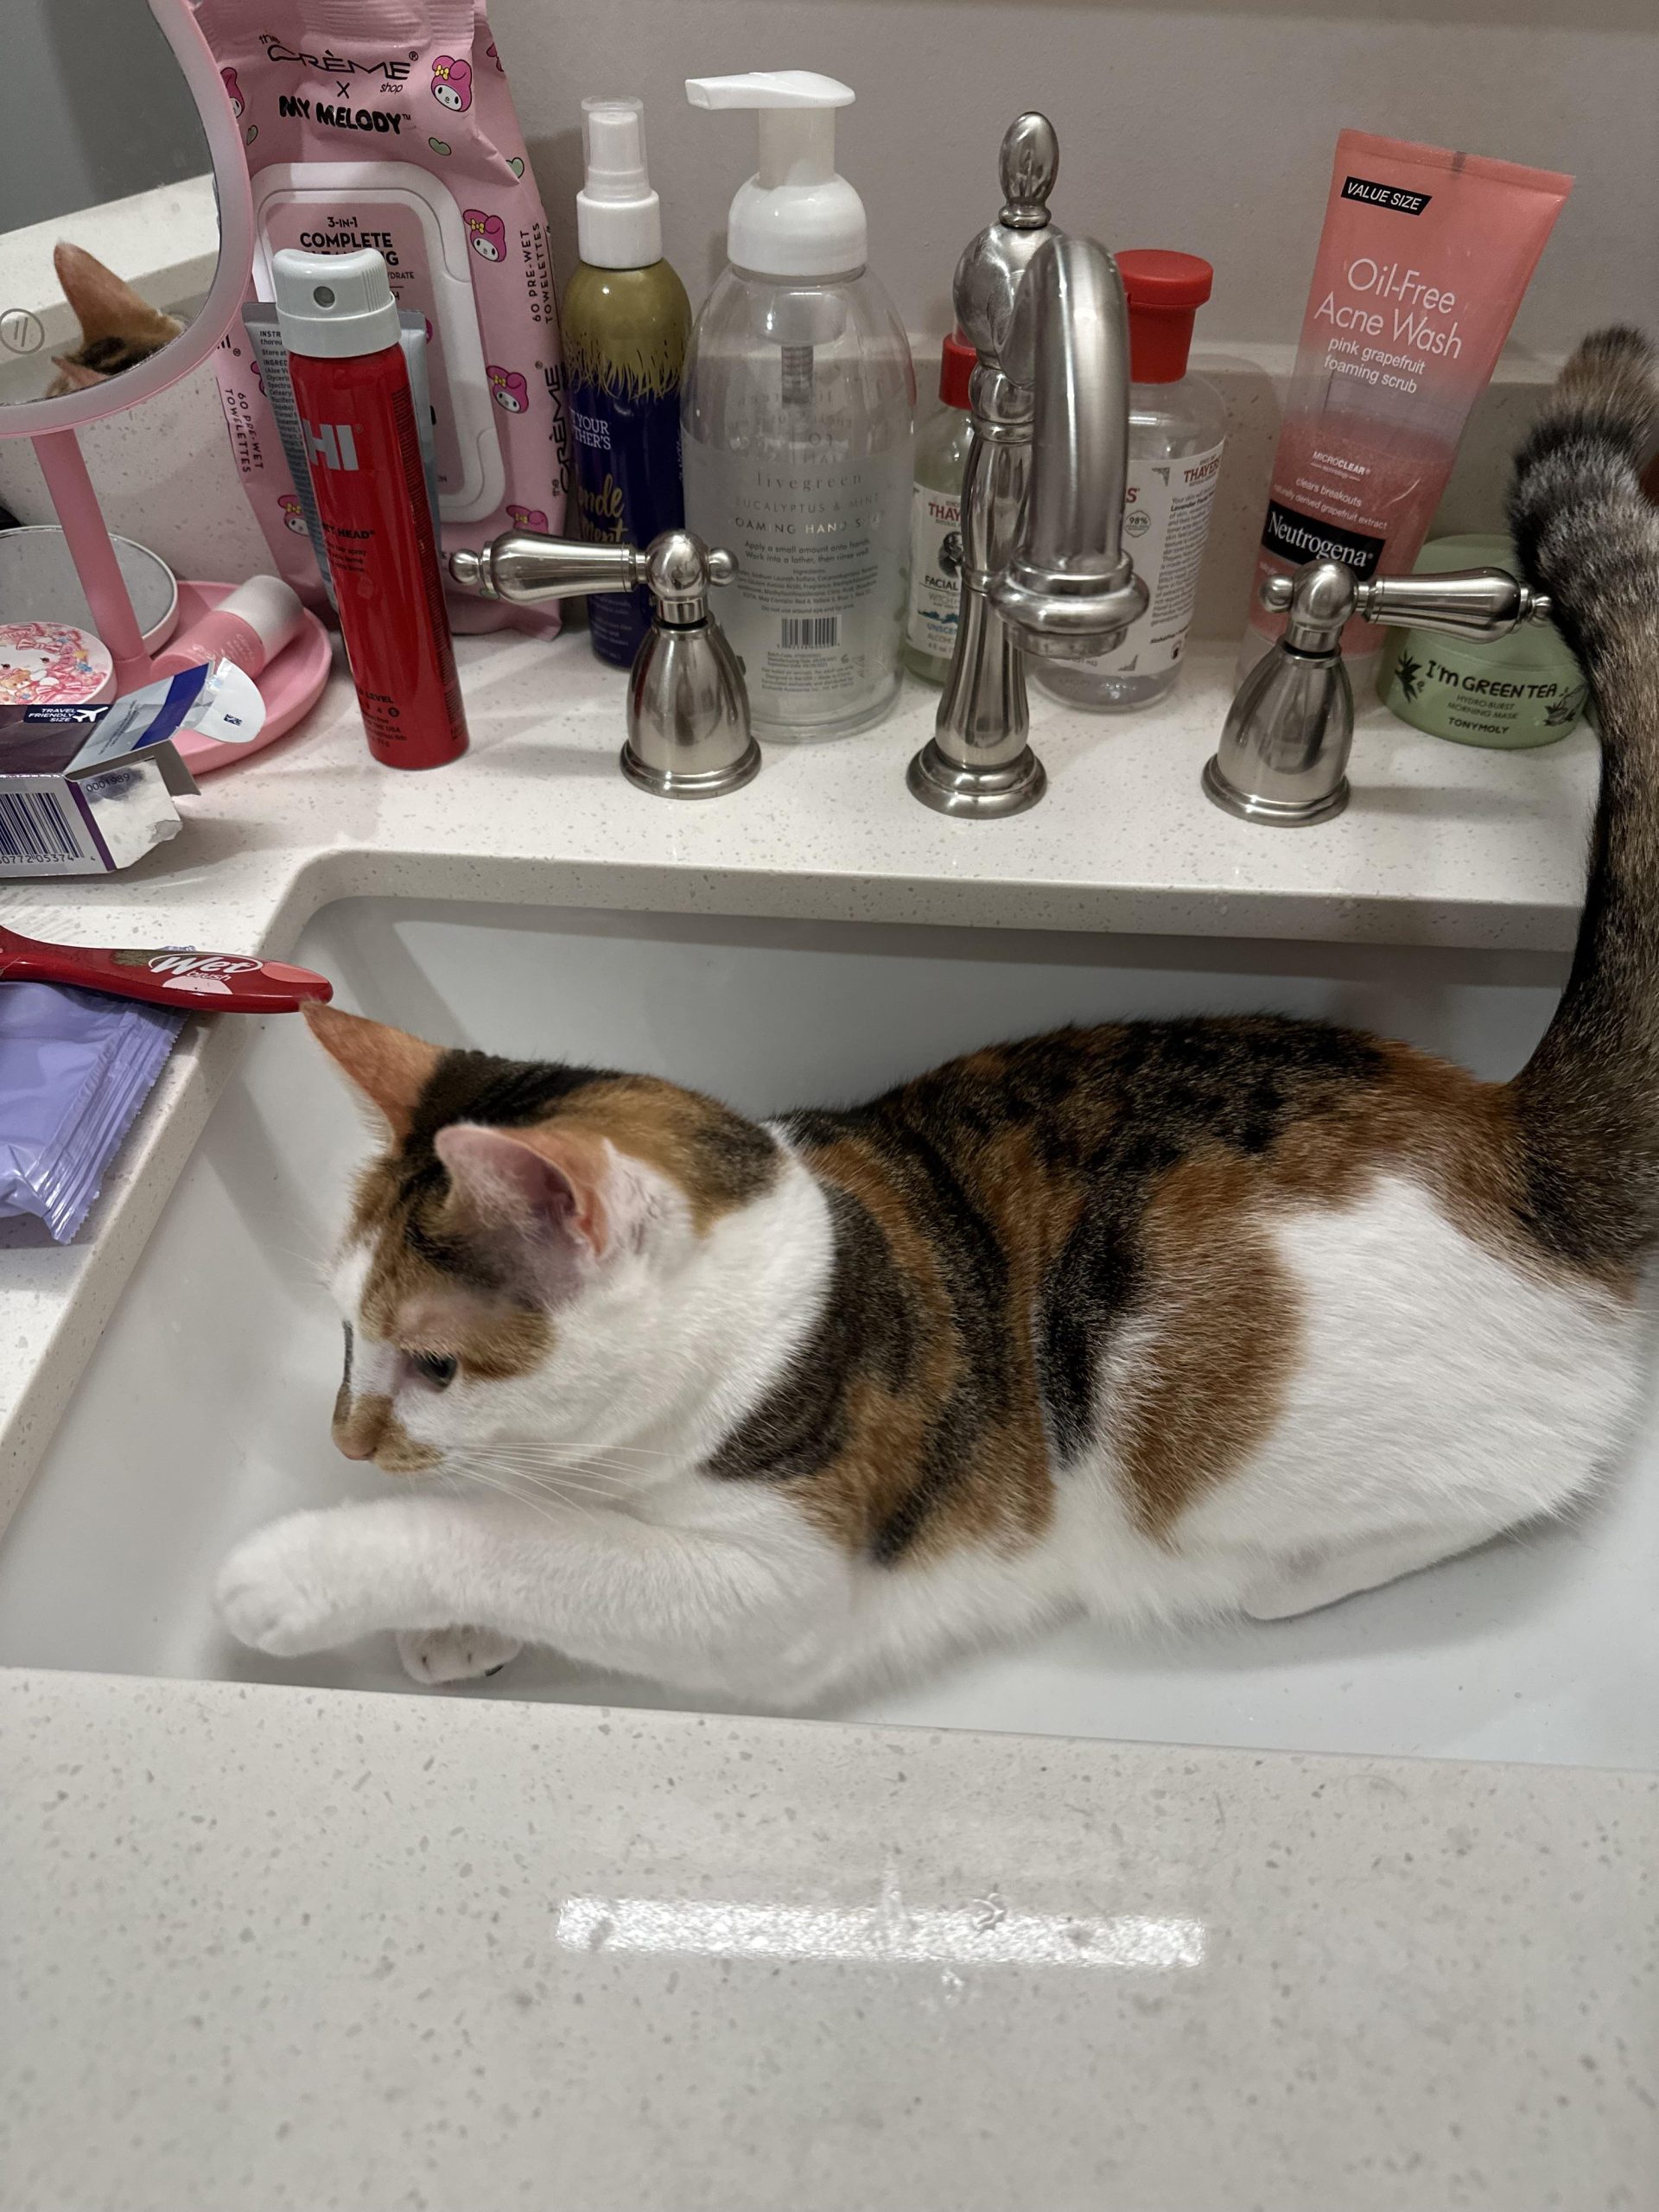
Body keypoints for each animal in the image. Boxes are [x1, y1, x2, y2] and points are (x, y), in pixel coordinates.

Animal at [221, 332, 1659, 1689]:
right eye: (344, 1333)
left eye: (437, 1366)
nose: (343, 1438)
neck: (789, 1292)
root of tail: (1508, 1138)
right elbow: (537, 1522)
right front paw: (452, 1633)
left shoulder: (779, 1588)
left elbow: (530, 1545)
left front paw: (314, 1575)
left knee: (1522, 1477)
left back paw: (1287, 1576)